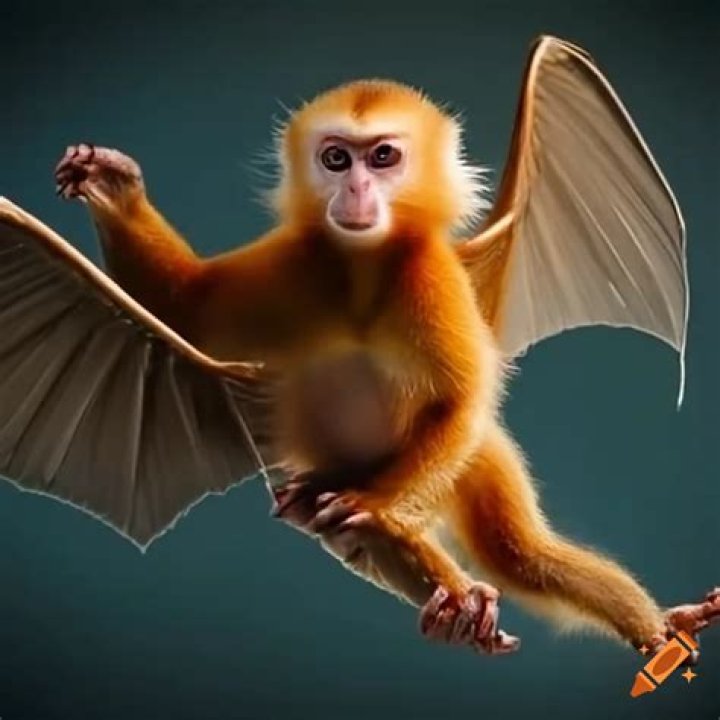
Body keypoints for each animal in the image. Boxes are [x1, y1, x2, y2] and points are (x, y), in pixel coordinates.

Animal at [0, 35, 717, 661]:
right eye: (337, 160)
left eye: (383, 159)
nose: (355, 192)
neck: (361, 273)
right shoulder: (299, 259)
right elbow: (187, 307)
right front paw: (111, 184)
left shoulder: (431, 278)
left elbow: (460, 402)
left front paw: (374, 510)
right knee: (338, 516)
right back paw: (463, 608)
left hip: (463, 460)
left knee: (518, 552)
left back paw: (648, 630)